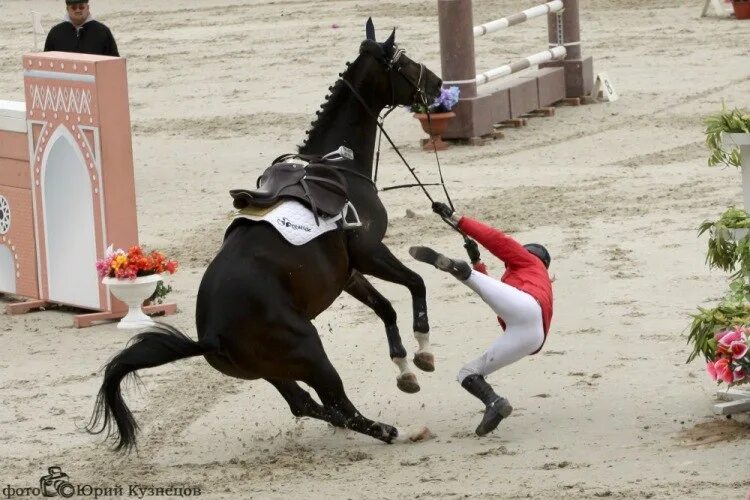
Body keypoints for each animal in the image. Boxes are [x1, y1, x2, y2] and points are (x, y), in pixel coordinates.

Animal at [88, 20, 444, 450]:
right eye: (404, 61)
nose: (438, 85)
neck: (336, 165)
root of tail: (210, 337)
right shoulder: (371, 252)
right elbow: (416, 283)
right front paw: (423, 353)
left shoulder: (348, 274)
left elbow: (386, 307)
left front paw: (405, 368)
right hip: (309, 350)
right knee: (339, 403)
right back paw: (397, 431)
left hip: (275, 369)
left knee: (307, 404)